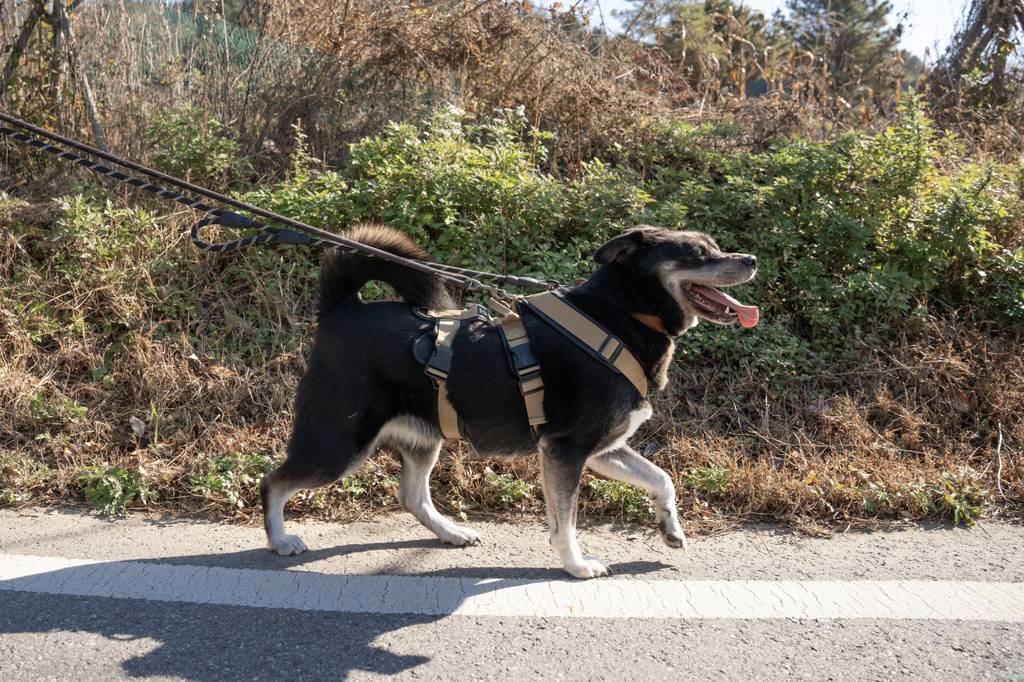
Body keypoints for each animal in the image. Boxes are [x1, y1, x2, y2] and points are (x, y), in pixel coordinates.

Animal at [260, 225, 757, 577]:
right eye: (696, 253)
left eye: (714, 246)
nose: (751, 259)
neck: (620, 316)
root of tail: (342, 309)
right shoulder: (565, 451)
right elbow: (565, 522)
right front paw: (576, 565)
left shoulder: (603, 449)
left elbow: (662, 480)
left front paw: (670, 528)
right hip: (338, 444)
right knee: (273, 483)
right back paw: (280, 540)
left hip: (422, 439)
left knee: (412, 496)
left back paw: (450, 532)